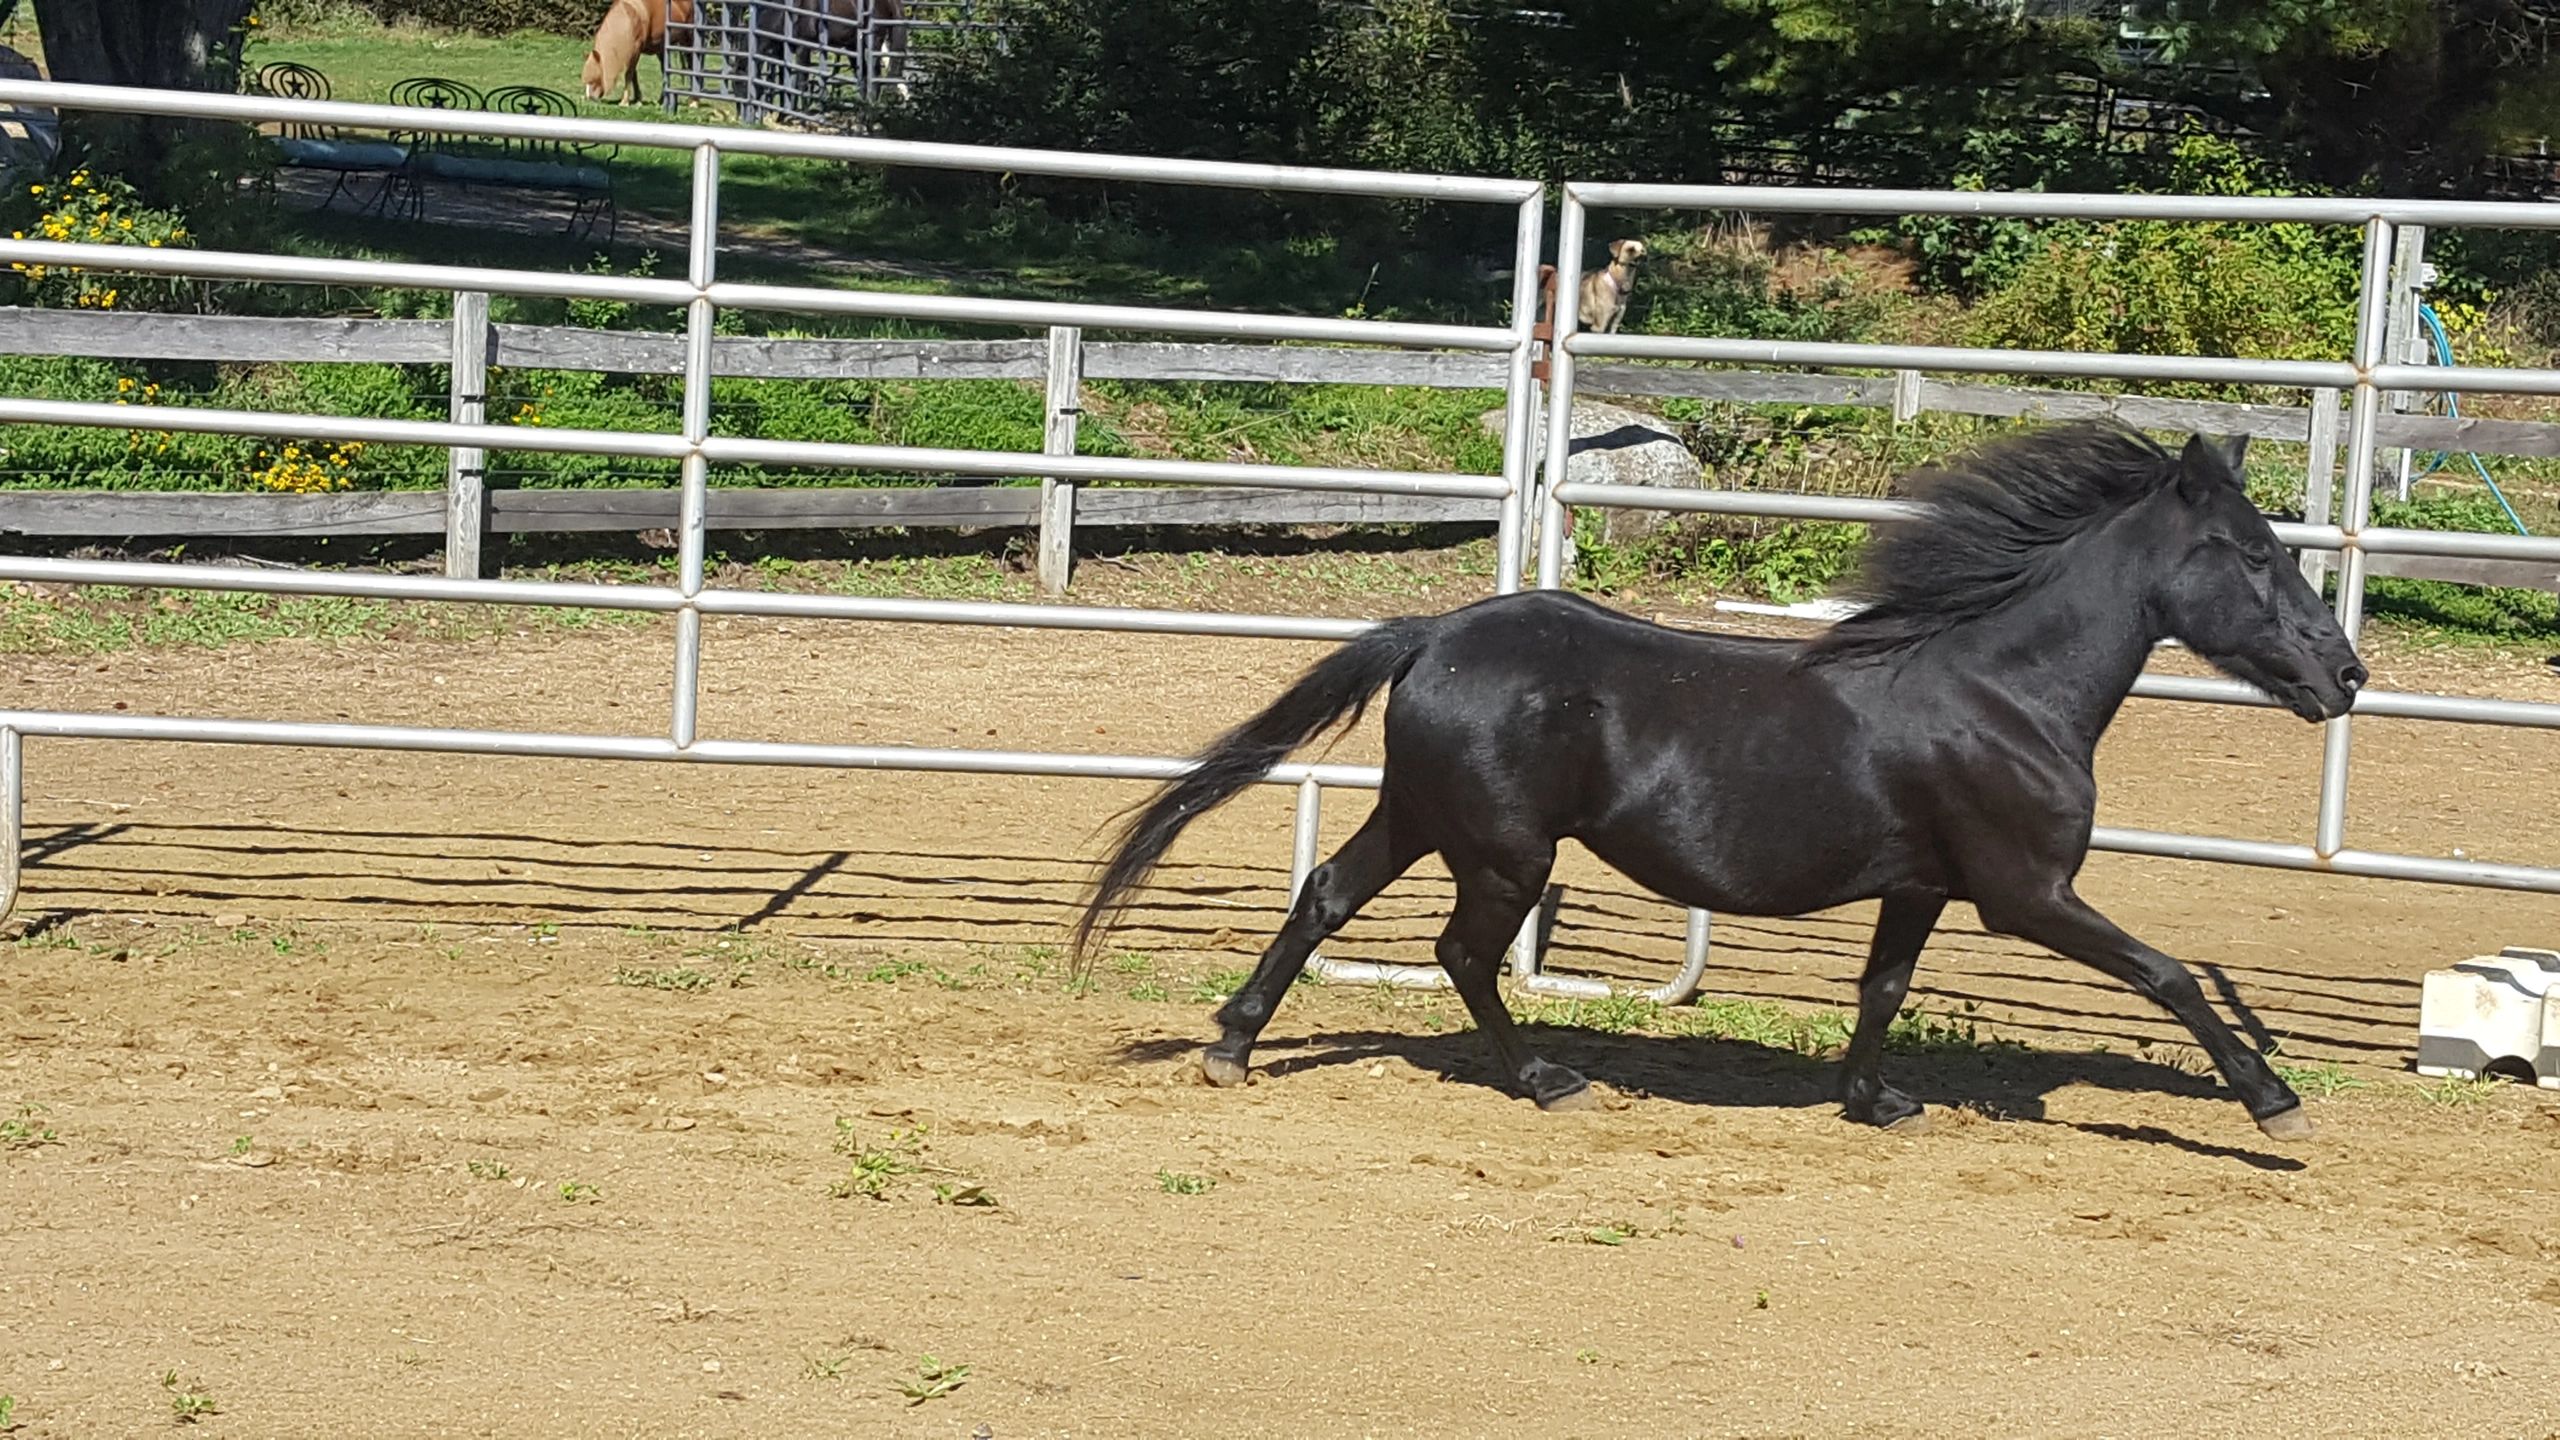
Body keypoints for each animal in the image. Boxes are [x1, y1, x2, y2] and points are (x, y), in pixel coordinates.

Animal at [1073, 422, 2368, 1142]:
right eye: (2253, 556)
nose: (2345, 675)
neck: (2005, 694)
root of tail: (1435, 631)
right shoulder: (2024, 894)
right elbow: (2167, 976)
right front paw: (2272, 1101)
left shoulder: (1921, 886)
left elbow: (1882, 988)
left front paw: (1874, 1102)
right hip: (1502, 846)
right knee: (1460, 955)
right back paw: (1546, 1081)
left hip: (1425, 815)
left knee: (1326, 899)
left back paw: (1232, 1045)